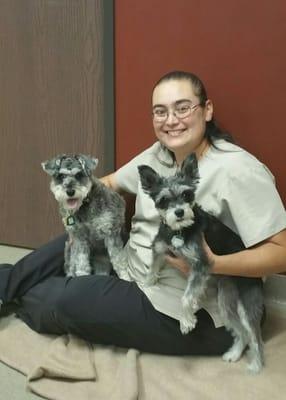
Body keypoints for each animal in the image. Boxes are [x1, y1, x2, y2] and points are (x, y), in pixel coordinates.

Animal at [137, 155, 264, 374]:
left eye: (187, 194)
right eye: (163, 199)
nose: (179, 212)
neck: (180, 231)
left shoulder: (200, 265)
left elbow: (186, 298)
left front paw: (187, 321)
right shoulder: (160, 248)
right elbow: (153, 267)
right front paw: (148, 282)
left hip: (247, 305)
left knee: (255, 337)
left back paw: (256, 365)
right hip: (226, 301)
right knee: (241, 333)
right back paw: (234, 354)